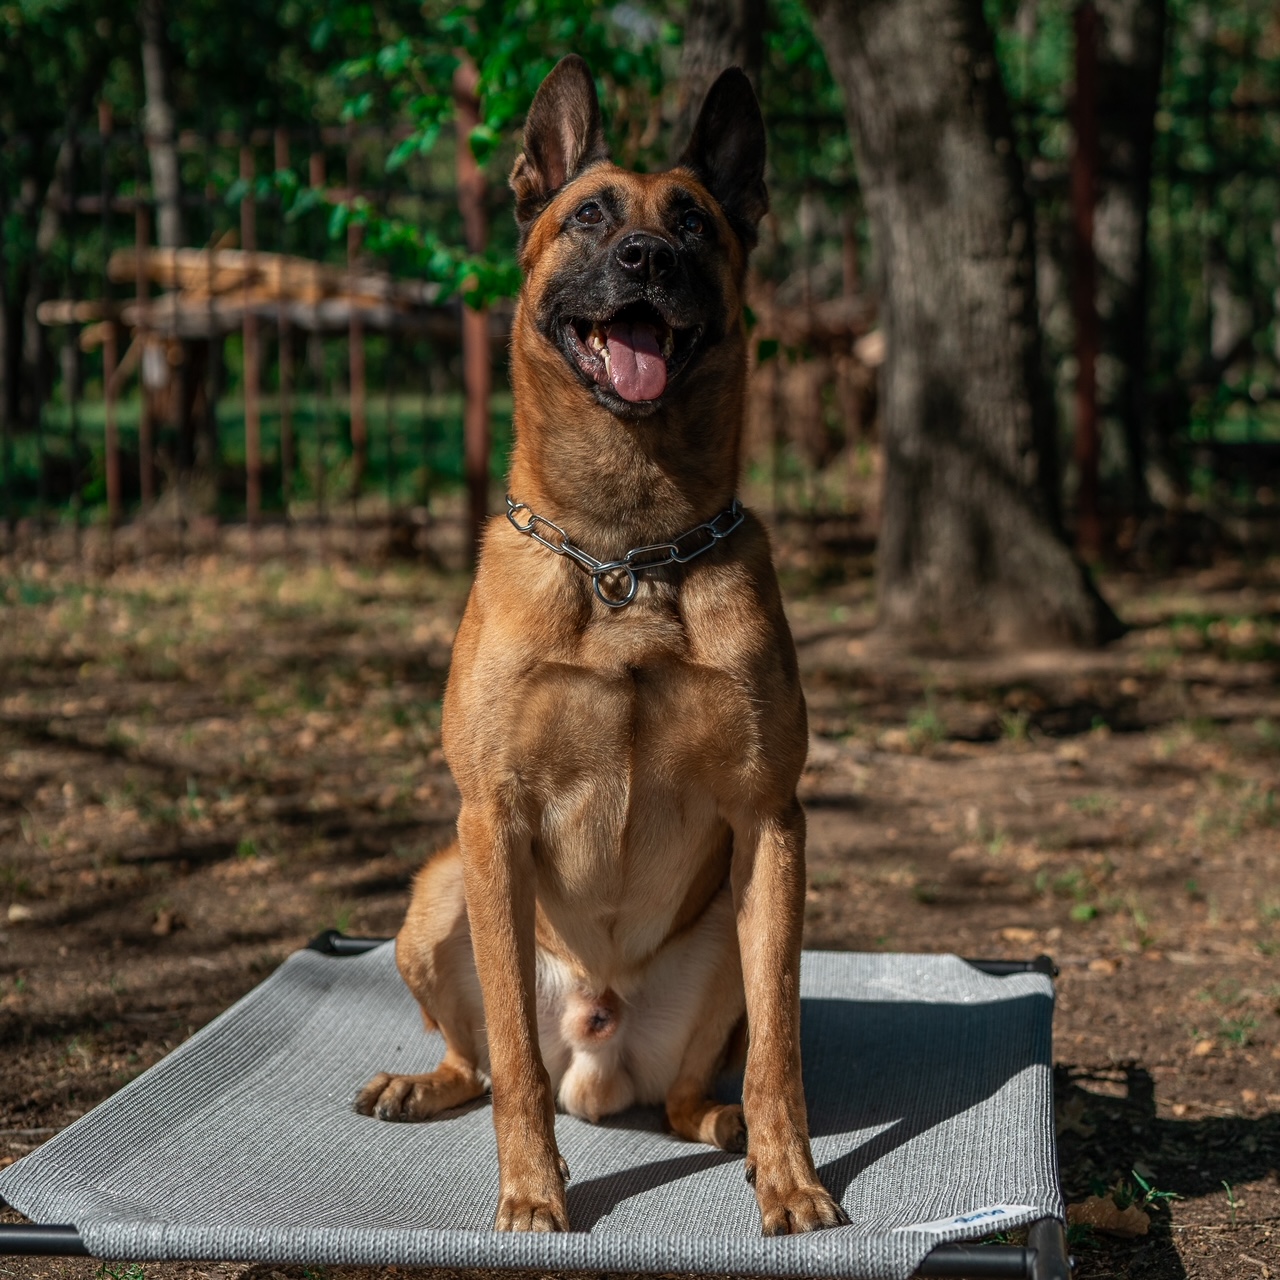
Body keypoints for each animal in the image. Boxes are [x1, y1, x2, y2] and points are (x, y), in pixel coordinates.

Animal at [355, 52, 844, 1239]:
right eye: (588, 216)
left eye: (693, 222)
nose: (646, 259)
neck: (626, 554)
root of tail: (600, 1037)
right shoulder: (492, 815)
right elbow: (515, 1069)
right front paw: (532, 1191)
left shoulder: (772, 821)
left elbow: (782, 1050)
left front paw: (792, 1177)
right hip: (440, 893)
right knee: (490, 1061)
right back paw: (426, 1083)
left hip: (729, 931)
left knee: (695, 1085)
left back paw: (727, 1128)